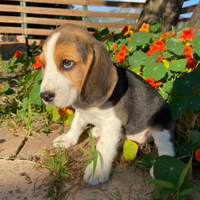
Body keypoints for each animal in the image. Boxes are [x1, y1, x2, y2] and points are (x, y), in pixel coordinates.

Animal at [39, 23, 174, 186]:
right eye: (43, 64)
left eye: (67, 63)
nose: (45, 96)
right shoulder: (81, 113)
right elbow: (76, 125)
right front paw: (67, 139)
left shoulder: (113, 122)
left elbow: (103, 146)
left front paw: (97, 169)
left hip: (161, 125)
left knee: (167, 148)